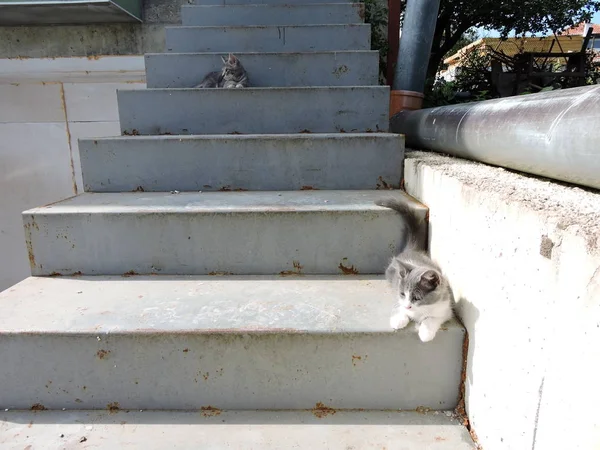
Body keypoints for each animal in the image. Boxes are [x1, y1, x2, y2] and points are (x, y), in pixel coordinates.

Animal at [376, 199, 454, 342]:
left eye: (416, 297)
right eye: (402, 294)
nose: (408, 306)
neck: (420, 310)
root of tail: (412, 250)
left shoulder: (445, 310)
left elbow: (431, 319)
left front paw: (426, 332)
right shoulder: (399, 297)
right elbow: (400, 307)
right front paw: (398, 319)